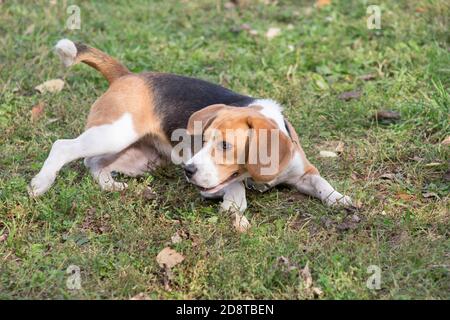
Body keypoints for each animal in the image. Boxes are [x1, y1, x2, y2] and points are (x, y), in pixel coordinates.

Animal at [29, 38, 352, 231]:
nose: (188, 170)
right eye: (203, 140)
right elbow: (236, 191)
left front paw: (340, 199)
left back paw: (112, 186)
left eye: (225, 145)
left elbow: (322, 183)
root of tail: (127, 76)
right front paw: (236, 213)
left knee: (93, 163)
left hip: (139, 158)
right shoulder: (218, 186)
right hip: (114, 133)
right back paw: (40, 184)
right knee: (64, 147)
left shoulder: (304, 171)